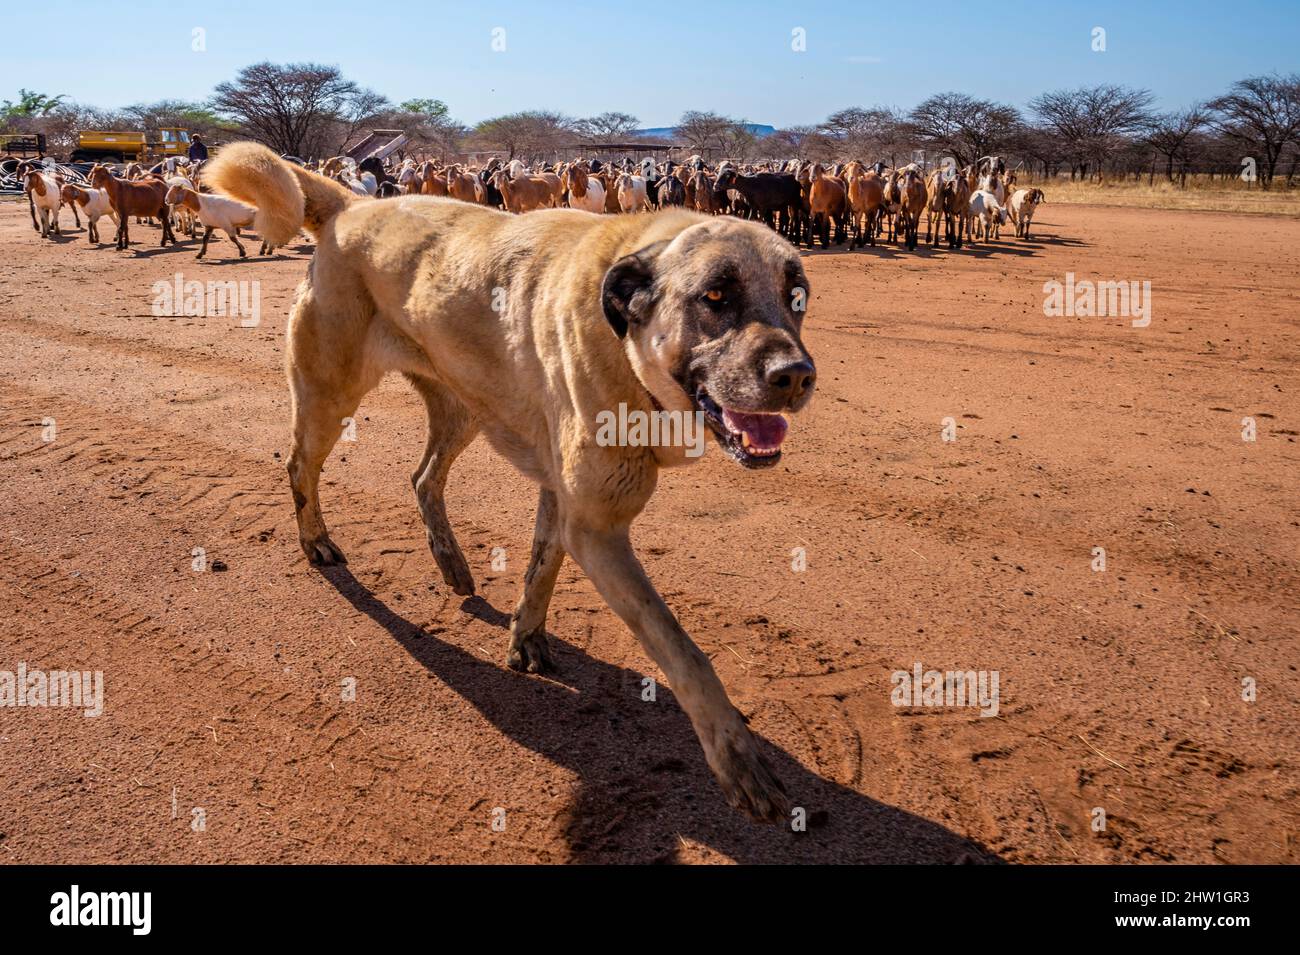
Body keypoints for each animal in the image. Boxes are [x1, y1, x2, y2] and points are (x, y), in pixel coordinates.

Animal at [210, 141, 821, 821]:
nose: (798, 375)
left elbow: (542, 567)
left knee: (422, 477)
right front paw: (737, 758)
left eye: (797, 297)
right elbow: (682, 649)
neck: (622, 342)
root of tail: (351, 204)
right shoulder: (598, 527)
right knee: (300, 467)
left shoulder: (567, 500)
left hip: (463, 406)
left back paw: (451, 563)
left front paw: (525, 636)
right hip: (330, 394)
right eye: (715, 296)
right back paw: (316, 542)